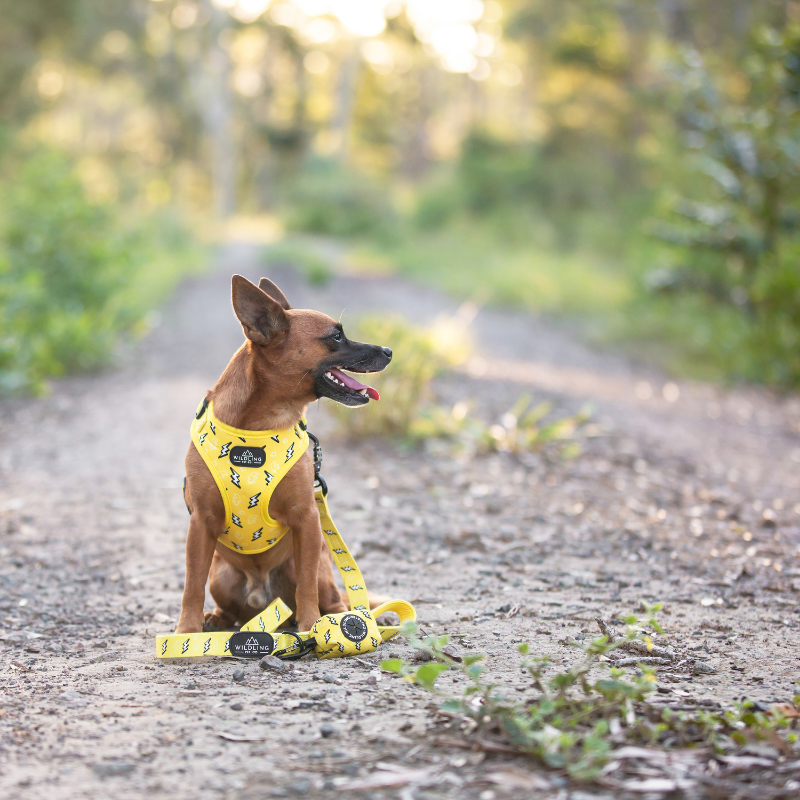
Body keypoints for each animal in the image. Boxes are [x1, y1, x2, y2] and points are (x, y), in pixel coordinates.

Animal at [173, 278, 392, 636]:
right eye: (335, 336)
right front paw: (185, 633)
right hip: (221, 574)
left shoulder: (307, 519)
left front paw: (312, 626)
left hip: (319, 569)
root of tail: (261, 594)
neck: (260, 427)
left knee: (335, 600)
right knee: (228, 608)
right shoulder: (201, 524)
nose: (388, 351)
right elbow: (192, 584)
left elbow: (306, 586)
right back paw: (215, 619)